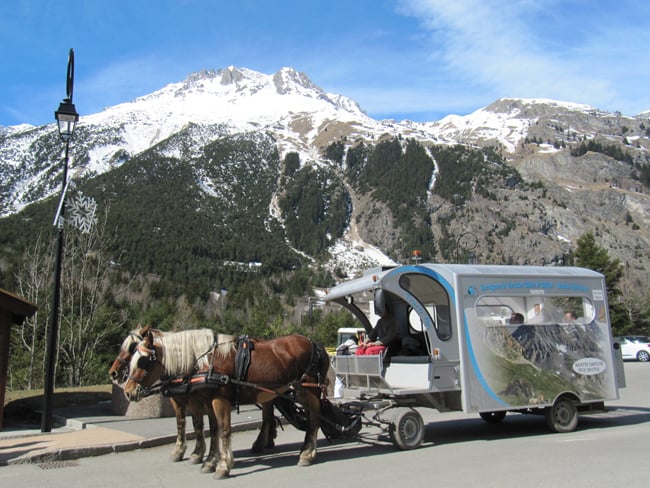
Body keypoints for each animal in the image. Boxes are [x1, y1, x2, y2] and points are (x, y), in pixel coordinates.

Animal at [107, 326, 218, 470]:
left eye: (132, 347)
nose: (113, 373)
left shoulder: (194, 401)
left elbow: (197, 424)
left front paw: (197, 453)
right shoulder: (176, 400)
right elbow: (180, 422)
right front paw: (179, 451)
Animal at [123, 330, 330, 478]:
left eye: (142, 361)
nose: (128, 391)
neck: (205, 361)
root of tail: (315, 343)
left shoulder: (219, 400)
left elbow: (223, 430)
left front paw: (222, 466)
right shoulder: (207, 400)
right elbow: (212, 429)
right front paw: (209, 461)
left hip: (307, 390)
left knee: (314, 418)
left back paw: (307, 454)